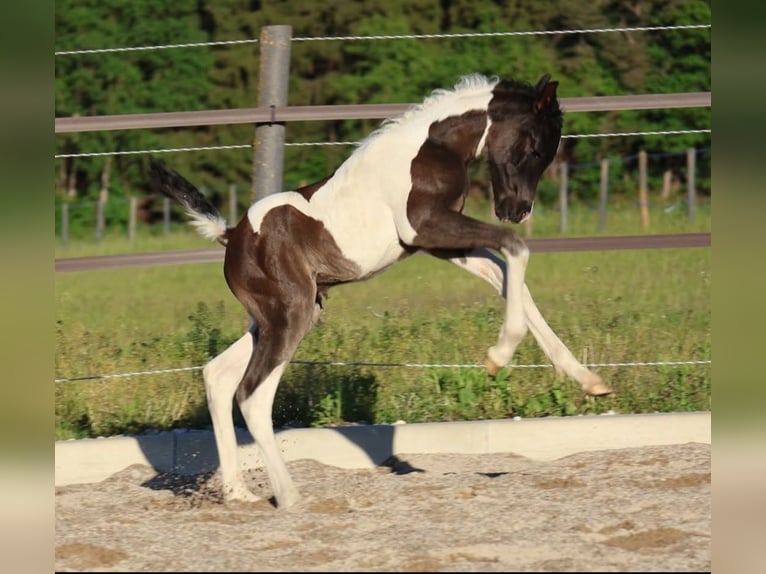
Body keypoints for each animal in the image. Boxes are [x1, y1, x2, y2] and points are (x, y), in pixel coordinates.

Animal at [150, 73, 611, 509]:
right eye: (533, 148)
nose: (516, 210)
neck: (431, 148)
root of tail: (231, 236)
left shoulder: (438, 243)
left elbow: (505, 275)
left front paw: (586, 379)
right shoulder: (426, 228)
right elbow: (515, 249)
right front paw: (500, 354)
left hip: (279, 317)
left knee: (218, 375)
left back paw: (238, 493)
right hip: (290, 315)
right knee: (252, 395)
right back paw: (289, 496)